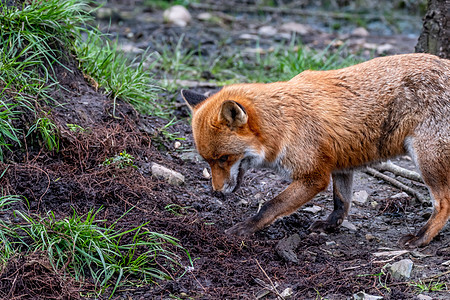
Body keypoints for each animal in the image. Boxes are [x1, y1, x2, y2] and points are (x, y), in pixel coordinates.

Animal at [182, 54, 450, 248]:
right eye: (207, 161)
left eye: (224, 159)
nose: (216, 192)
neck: (281, 124)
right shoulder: (342, 162)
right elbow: (341, 201)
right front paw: (331, 225)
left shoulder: (313, 176)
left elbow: (270, 206)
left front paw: (244, 229)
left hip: (426, 160)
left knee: (444, 204)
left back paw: (421, 237)